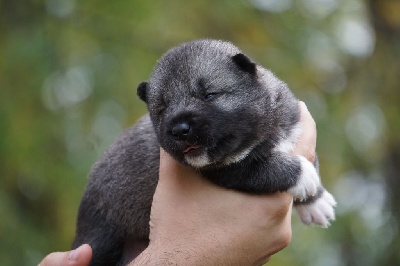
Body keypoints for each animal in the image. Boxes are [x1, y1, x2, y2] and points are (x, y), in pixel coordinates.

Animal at [72, 38, 338, 264]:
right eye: (161, 109)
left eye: (209, 94)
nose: (180, 129)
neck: (262, 135)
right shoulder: (232, 170)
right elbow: (266, 166)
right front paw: (304, 176)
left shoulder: (296, 129)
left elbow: (310, 159)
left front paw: (316, 201)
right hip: (101, 237)